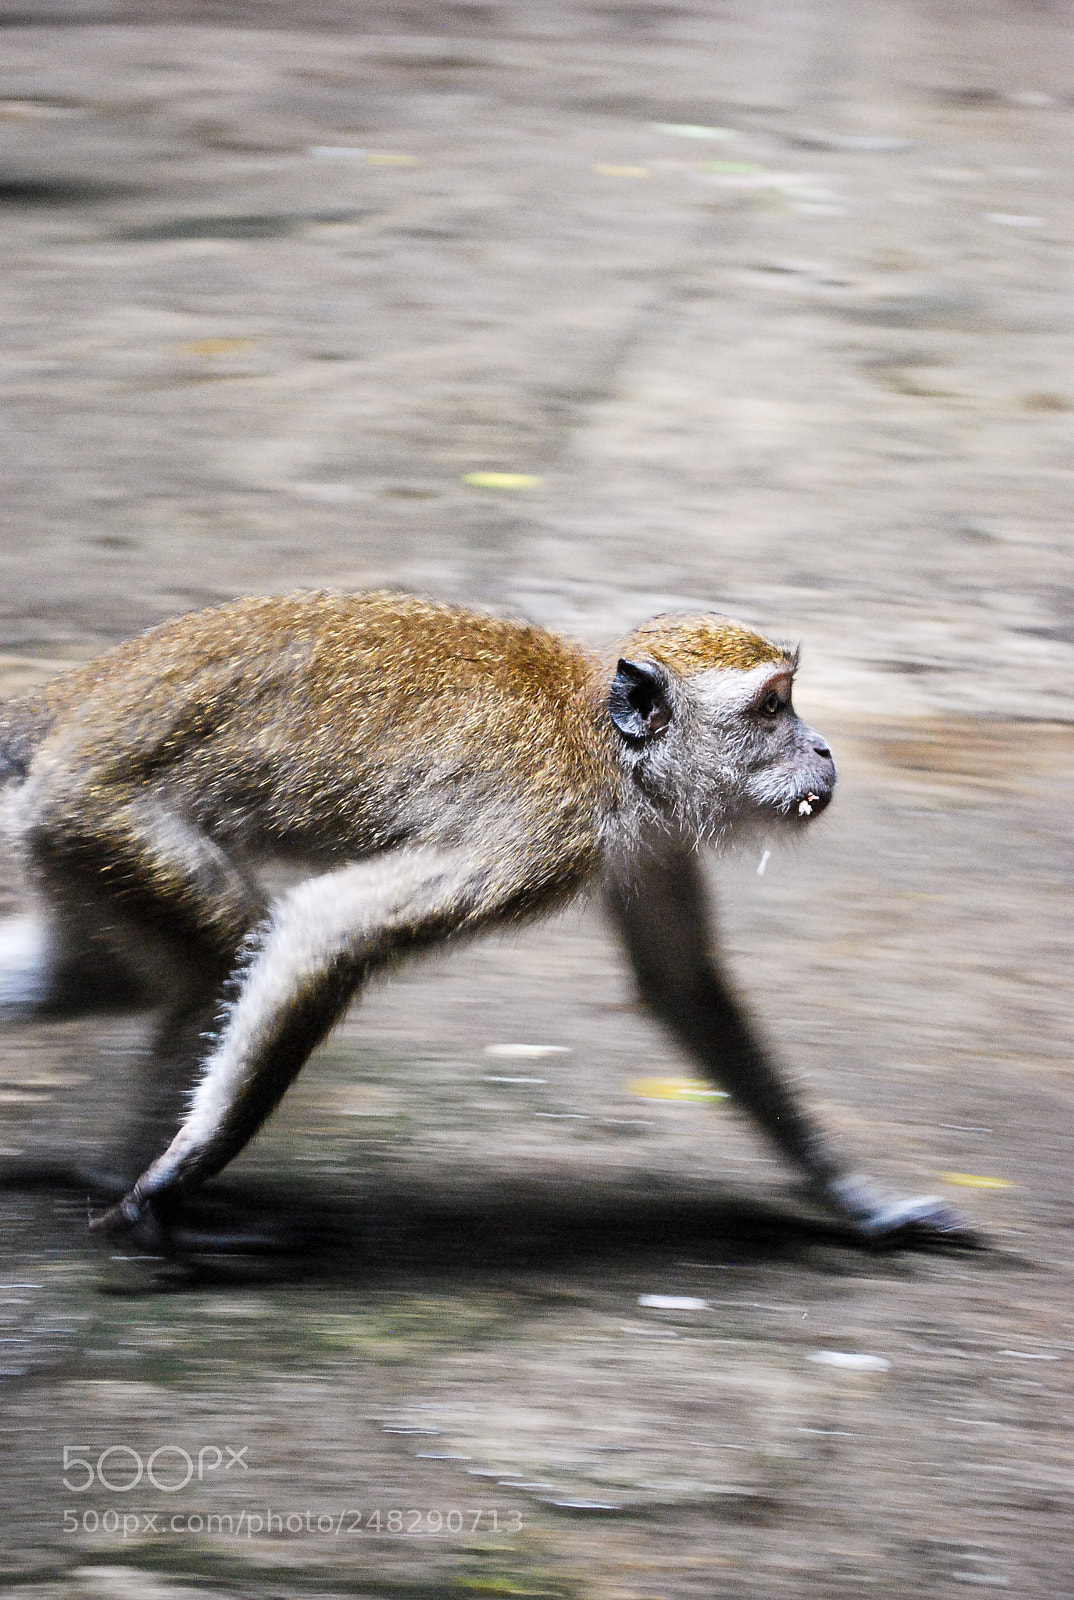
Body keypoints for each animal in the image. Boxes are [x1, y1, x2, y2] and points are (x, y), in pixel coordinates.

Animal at [0, 589, 976, 1250]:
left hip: (69, 832)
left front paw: (859, 1201)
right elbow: (327, 924)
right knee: (219, 947)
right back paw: (148, 1187)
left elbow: (684, 988)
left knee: (105, 972)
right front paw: (180, 1175)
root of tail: (75, 698)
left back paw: (105, 1171)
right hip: (107, 810)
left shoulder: (653, 838)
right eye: (773, 707)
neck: (604, 741)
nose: (823, 748)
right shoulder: (547, 831)